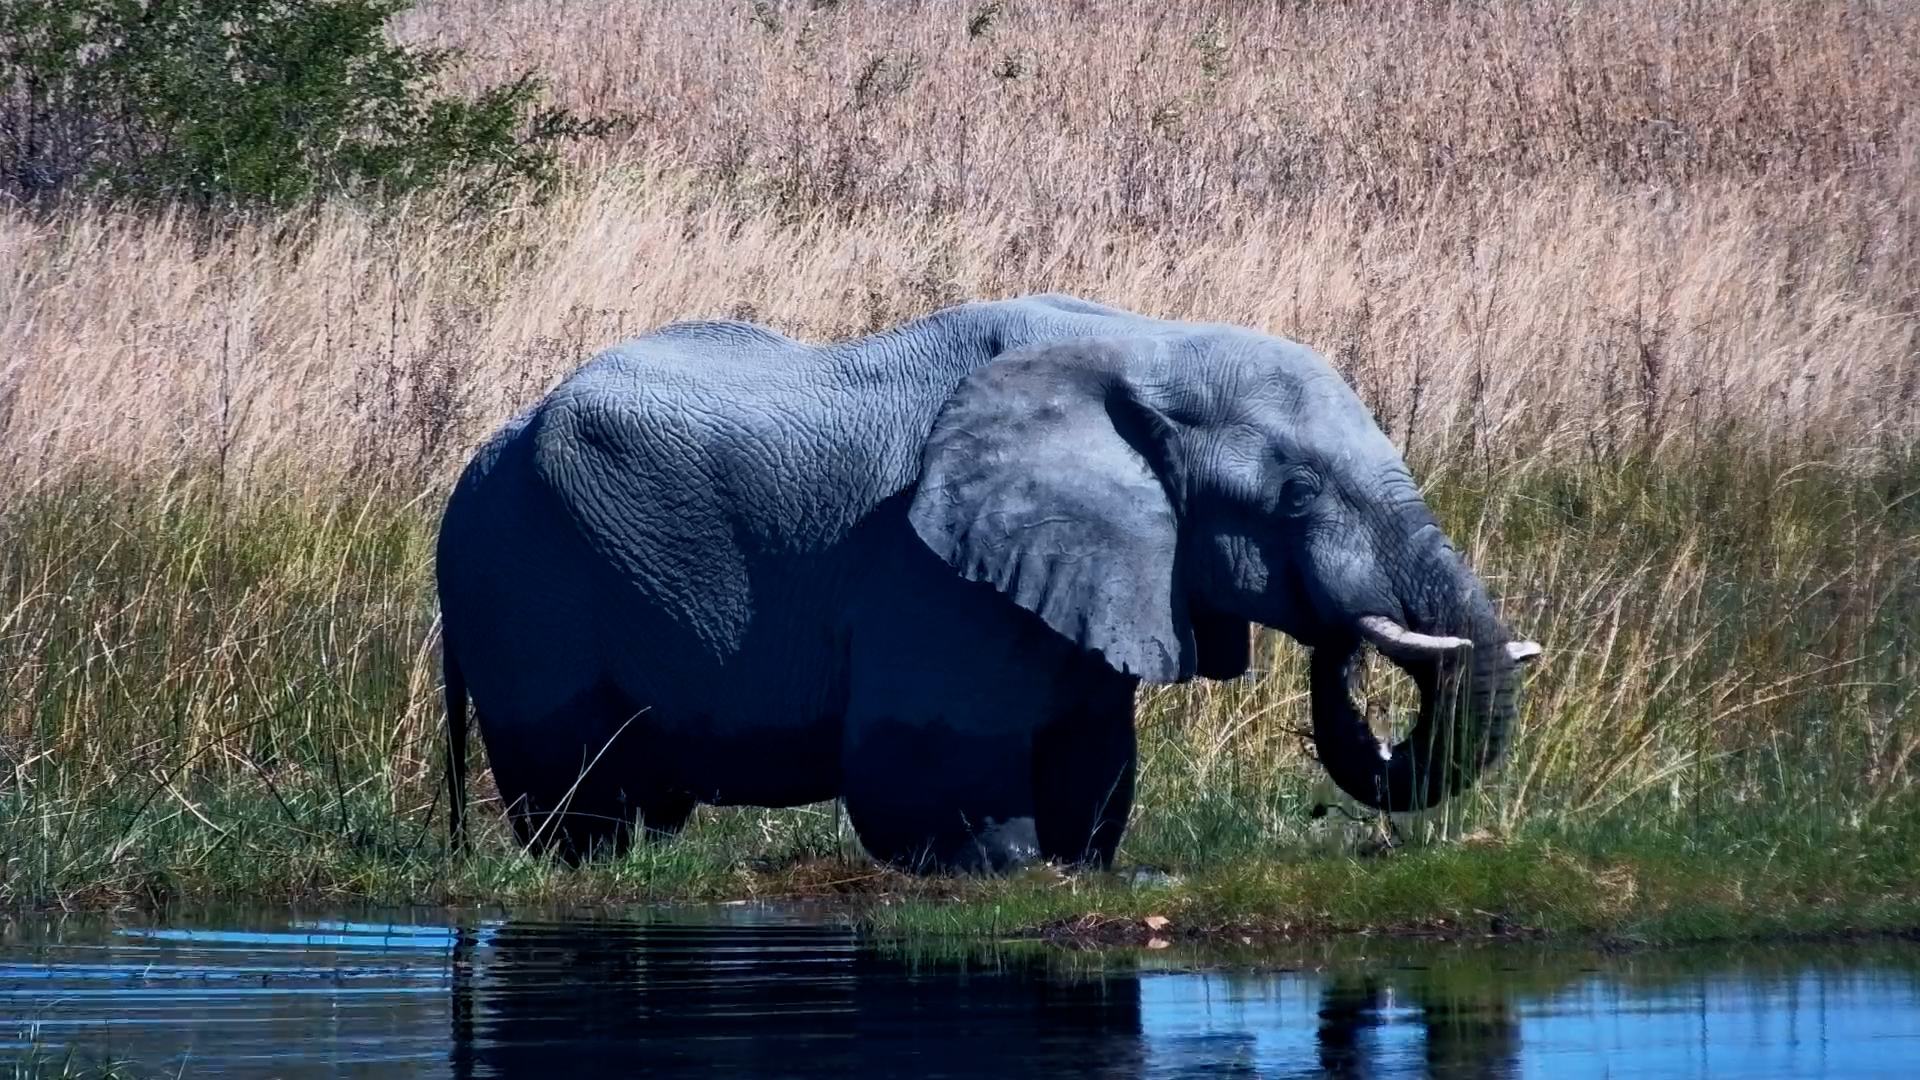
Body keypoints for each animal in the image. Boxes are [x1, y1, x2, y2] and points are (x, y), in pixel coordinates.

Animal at [435, 294, 1540, 869]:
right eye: (1298, 493)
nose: (1349, 634)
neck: (1142, 345)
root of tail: (477, 461)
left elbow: (1096, 771)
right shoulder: (926, 575)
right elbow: (931, 782)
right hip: (525, 588)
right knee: (582, 803)